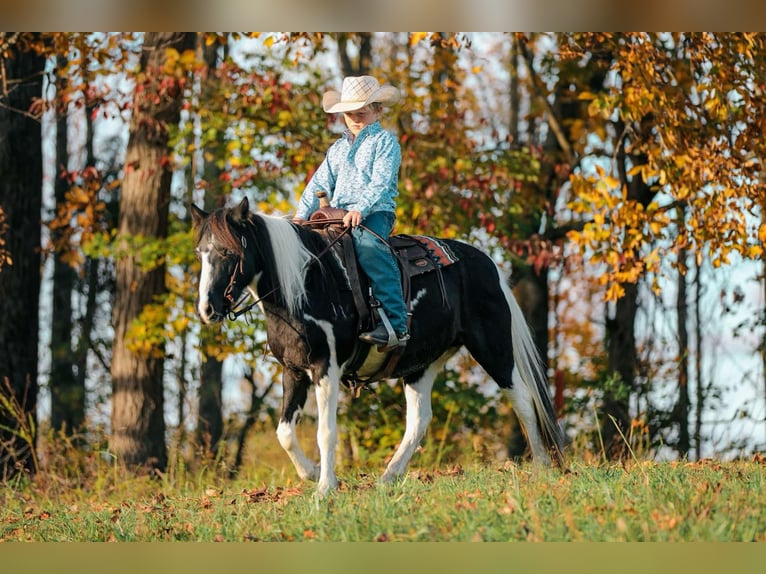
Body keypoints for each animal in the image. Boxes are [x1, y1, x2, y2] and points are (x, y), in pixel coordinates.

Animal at [191, 197, 564, 495]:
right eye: (201, 253)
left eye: (228, 251)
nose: (208, 309)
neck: (305, 283)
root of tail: (486, 263)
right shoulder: (294, 371)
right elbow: (285, 432)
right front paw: (314, 473)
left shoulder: (326, 367)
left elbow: (326, 431)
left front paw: (325, 488)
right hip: (422, 364)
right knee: (419, 420)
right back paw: (389, 477)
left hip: (493, 347)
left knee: (523, 400)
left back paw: (541, 468)